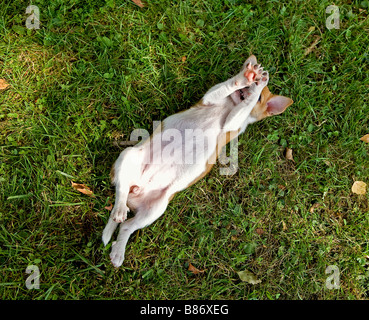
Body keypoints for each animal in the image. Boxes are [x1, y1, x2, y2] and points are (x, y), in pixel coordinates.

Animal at [102, 55, 292, 268]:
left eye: (260, 99)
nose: (248, 88)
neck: (230, 105)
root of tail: (135, 189)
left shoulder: (232, 124)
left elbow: (244, 108)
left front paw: (257, 86)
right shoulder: (211, 97)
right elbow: (229, 84)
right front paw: (247, 77)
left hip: (155, 209)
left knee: (127, 226)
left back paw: (118, 250)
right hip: (128, 156)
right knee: (120, 191)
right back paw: (119, 210)